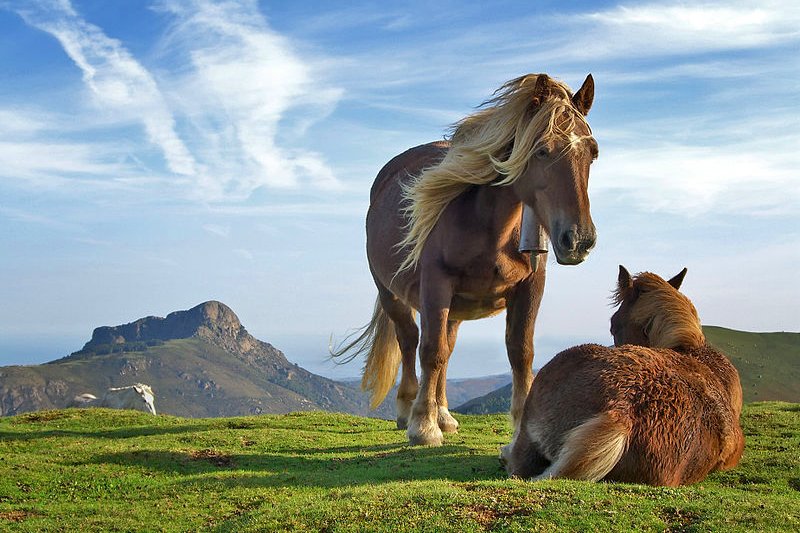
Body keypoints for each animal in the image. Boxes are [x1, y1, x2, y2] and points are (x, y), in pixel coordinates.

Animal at [332, 71, 600, 444]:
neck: (489, 225)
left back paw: (444, 413)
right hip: (392, 294)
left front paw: (519, 428)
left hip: (456, 307)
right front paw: (423, 426)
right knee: (410, 340)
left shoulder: (531, 287)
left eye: (593, 153)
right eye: (542, 150)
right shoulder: (435, 285)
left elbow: (520, 352)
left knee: (447, 348)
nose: (578, 240)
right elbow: (430, 350)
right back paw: (408, 409)